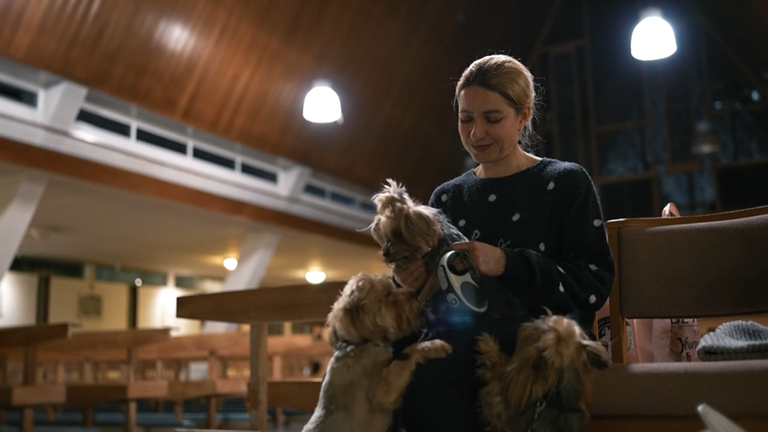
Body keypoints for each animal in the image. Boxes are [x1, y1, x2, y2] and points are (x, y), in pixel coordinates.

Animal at [304, 274, 452, 432]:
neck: (362, 343)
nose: (414, 293)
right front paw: (436, 345)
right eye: (387, 294)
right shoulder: (382, 391)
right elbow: (408, 352)